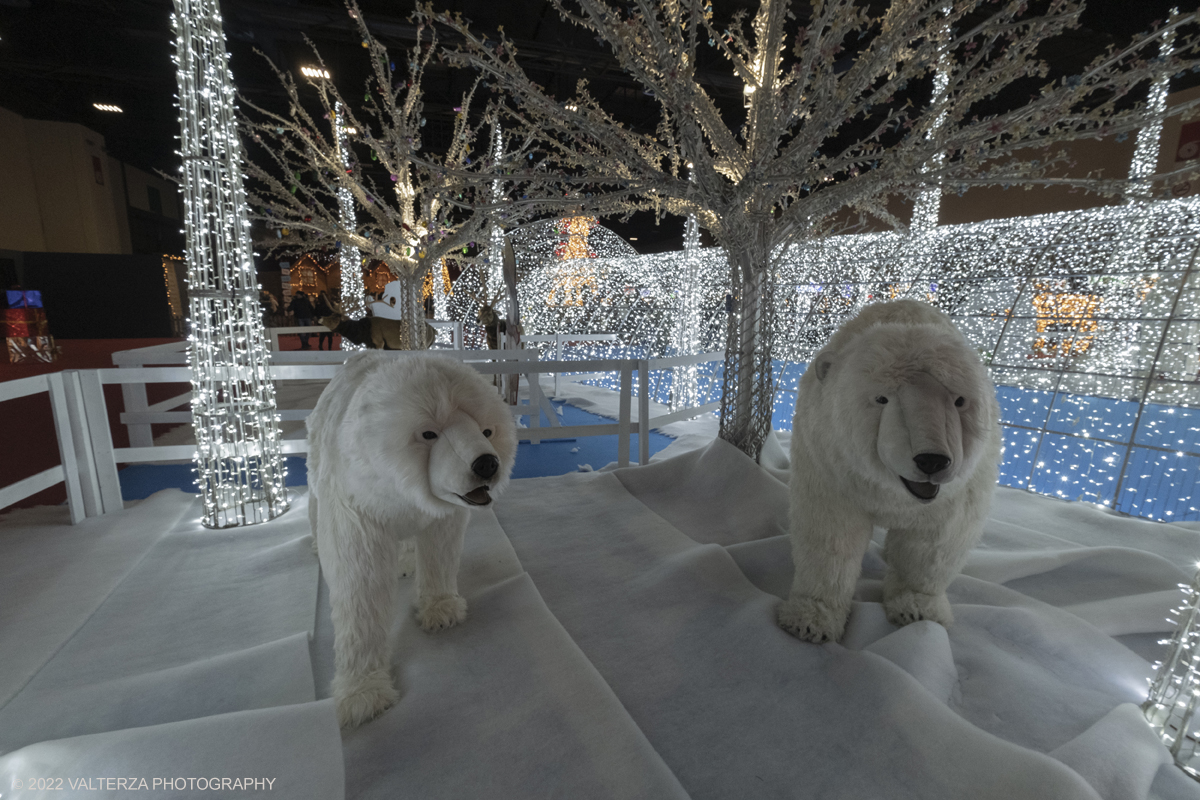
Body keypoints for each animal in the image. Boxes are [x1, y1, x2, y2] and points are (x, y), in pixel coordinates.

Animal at [304, 352, 516, 729]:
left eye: (487, 430)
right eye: (429, 433)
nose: (487, 463)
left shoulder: (440, 512)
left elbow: (441, 549)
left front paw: (442, 611)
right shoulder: (356, 504)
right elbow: (359, 586)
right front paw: (362, 695)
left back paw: (404, 562)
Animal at [772, 299, 998, 642]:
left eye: (959, 400)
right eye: (881, 398)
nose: (932, 460)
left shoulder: (956, 494)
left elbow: (933, 545)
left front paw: (918, 609)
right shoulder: (831, 467)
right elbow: (831, 536)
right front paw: (810, 620)